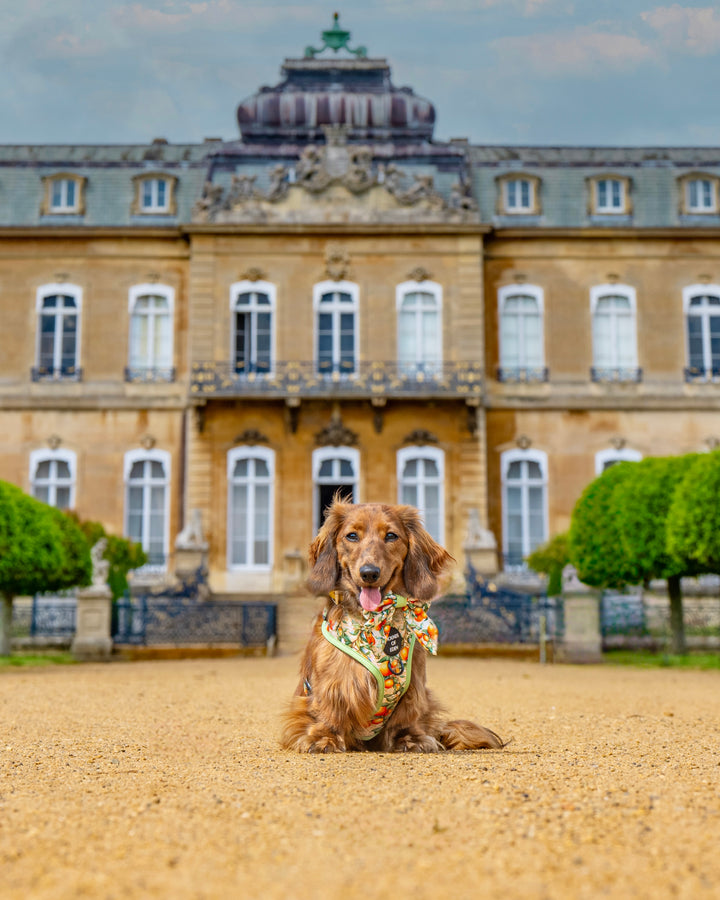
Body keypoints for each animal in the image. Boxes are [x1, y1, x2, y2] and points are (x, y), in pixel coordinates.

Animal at [278, 500, 504, 752]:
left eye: (391, 536)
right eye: (352, 535)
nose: (369, 573)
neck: (377, 619)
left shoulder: (414, 686)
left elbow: (406, 717)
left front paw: (410, 739)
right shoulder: (332, 684)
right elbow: (329, 710)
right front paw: (323, 738)